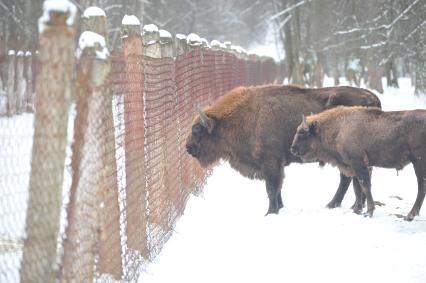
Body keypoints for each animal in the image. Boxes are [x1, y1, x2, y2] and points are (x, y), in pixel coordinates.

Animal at [185, 84, 382, 215]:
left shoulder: (270, 162)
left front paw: (270, 212)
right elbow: (278, 188)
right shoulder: (276, 165)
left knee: (353, 177)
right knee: (350, 177)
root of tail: (374, 98)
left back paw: (348, 206)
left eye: (197, 129)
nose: (188, 148)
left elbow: (271, 188)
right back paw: (340, 205)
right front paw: (279, 208)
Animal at [292, 106, 426, 222]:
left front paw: (368, 212)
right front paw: (357, 210)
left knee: (421, 188)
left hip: (418, 163)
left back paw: (410, 215)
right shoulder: (355, 167)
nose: (293, 149)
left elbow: (365, 186)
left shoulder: (358, 163)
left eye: (303, 133)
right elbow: (357, 188)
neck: (340, 128)